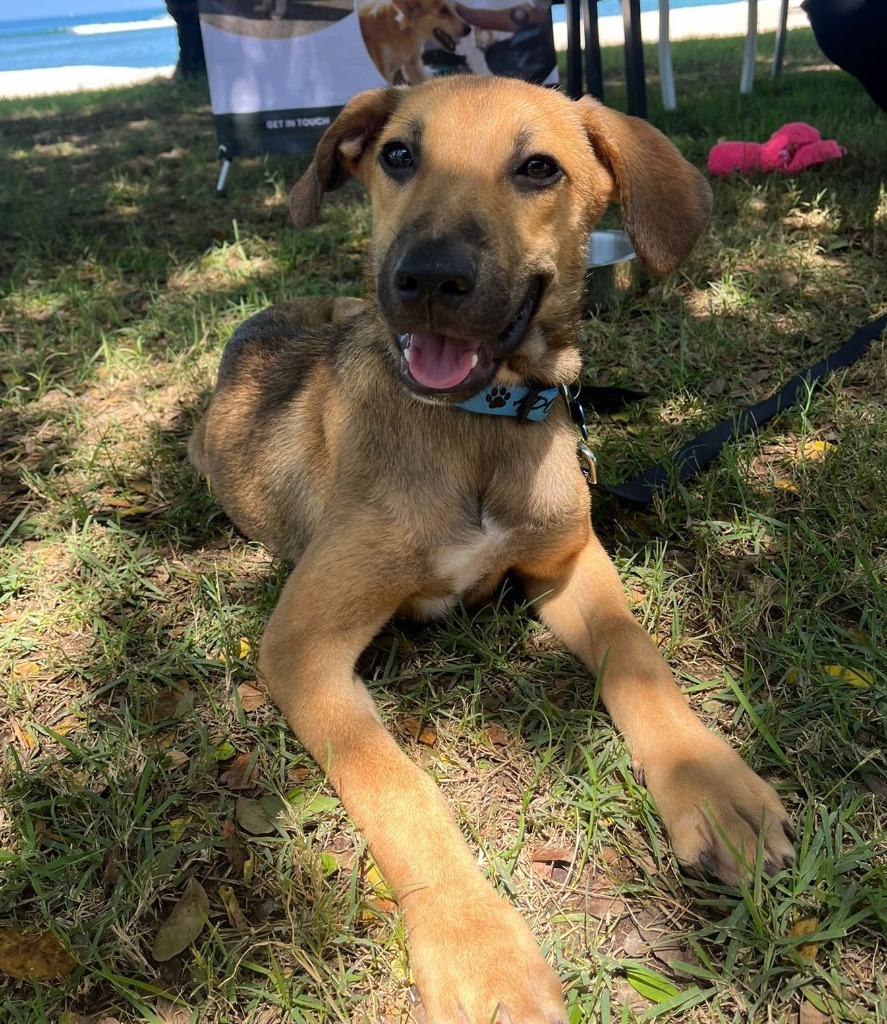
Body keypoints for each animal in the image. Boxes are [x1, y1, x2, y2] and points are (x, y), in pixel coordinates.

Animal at [188, 77, 794, 1024]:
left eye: (538, 167)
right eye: (398, 154)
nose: (429, 280)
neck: (478, 426)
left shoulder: (569, 564)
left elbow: (636, 655)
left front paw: (710, 785)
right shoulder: (300, 646)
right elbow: (395, 784)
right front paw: (480, 951)